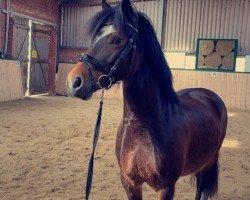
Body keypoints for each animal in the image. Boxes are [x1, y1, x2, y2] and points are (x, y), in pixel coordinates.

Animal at [66, 0, 227, 199]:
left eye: (117, 39)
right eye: (95, 39)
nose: (74, 82)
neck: (143, 126)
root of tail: (210, 95)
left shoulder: (166, 187)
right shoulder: (130, 183)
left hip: (208, 161)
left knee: (200, 187)